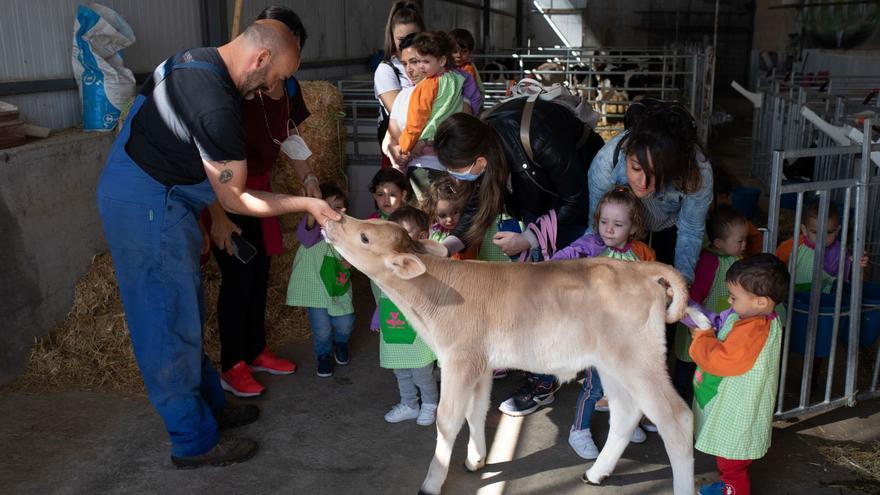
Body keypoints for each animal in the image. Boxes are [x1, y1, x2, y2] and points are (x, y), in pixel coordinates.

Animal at [324, 217, 696, 495]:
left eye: (365, 236)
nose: (332, 218)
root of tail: (641, 271)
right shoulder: (479, 364)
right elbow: (475, 411)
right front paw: (476, 460)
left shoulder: (459, 359)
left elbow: (448, 419)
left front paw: (432, 482)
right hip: (612, 364)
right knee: (626, 412)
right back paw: (595, 473)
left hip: (639, 361)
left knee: (677, 419)